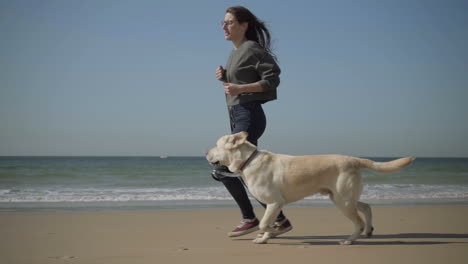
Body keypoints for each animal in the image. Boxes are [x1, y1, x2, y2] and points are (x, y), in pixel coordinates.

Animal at [207, 132, 414, 245]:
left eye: (216, 145)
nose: (206, 152)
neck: (248, 160)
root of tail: (353, 159)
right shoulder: (272, 205)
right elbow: (266, 223)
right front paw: (264, 238)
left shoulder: (274, 203)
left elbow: (265, 223)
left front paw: (272, 231)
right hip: (342, 197)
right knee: (366, 207)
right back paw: (369, 230)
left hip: (343, 201)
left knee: (358, 221)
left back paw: (350, 239)